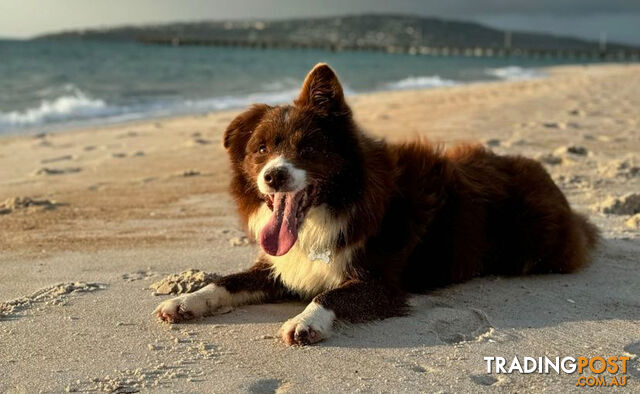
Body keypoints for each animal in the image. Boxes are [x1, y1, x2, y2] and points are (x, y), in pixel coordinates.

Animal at [156, 62, 600, 344]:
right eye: (261, 149)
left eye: (308, 147)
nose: (274, 176)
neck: (330, 210)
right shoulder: (284, 265)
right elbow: (228, 280)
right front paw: (185, 300)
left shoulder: (383, 282)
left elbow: (330, 295)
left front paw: (306, 321)